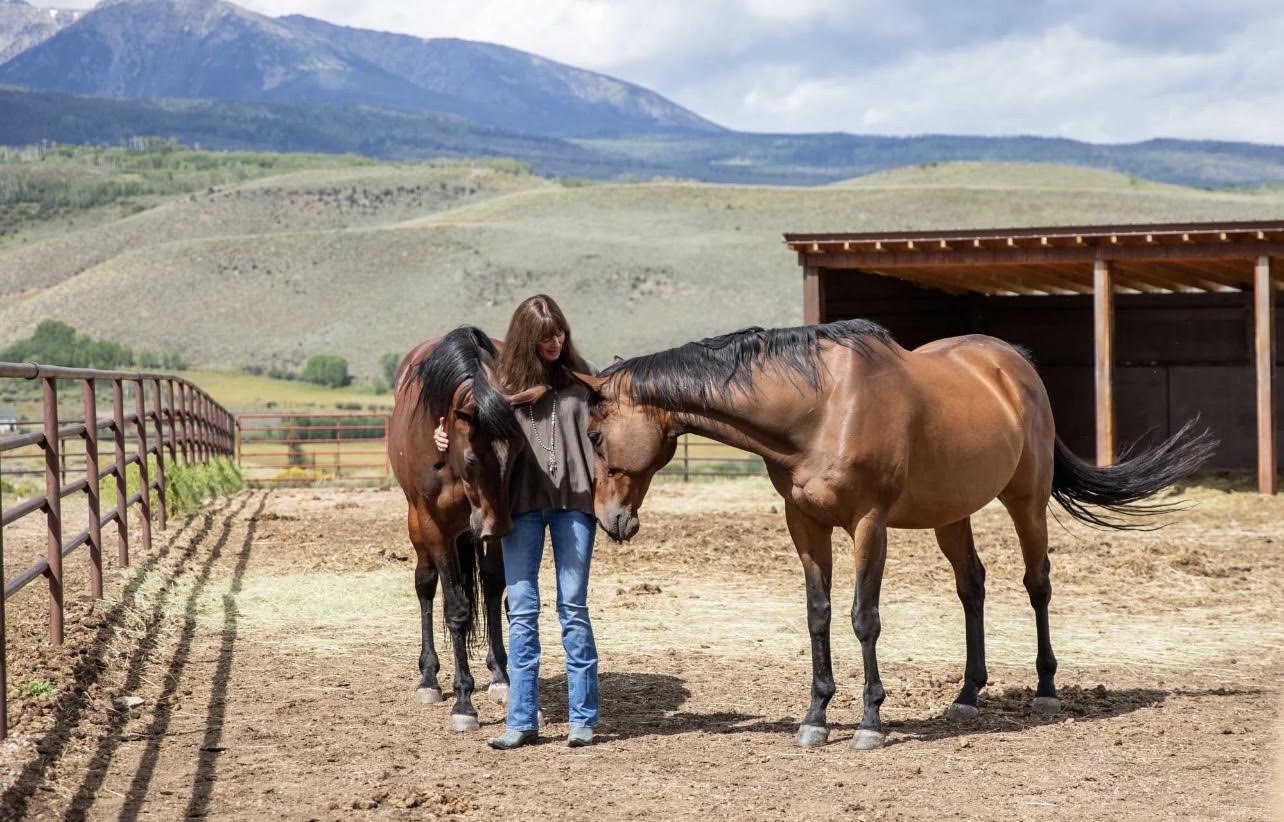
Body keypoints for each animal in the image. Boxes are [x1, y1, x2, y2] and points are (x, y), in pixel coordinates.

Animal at [387, 326, 545, 732]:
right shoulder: (436, 528)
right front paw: (463, 702)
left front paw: (505, 681)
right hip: (419, 527)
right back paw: (428, 678)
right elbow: (456, 610)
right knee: (426, 585)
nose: (497, 525)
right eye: (473, 459)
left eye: (517, 453)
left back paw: (500, 675)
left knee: (487, 587)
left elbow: (494, 589)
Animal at [573, 320, 1215, 750]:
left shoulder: (868, 524)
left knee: (1037, 585)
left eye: (597, 435)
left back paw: (1046, 689)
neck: (820, 408)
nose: (610, 520)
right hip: (951, 513)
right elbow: (818, 615)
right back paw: (966, 697)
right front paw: (814, 718)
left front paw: (870, 722)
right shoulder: (804, 522)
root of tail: (1017, 367)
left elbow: (864, 618)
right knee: (972, 587)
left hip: (1025, 503)